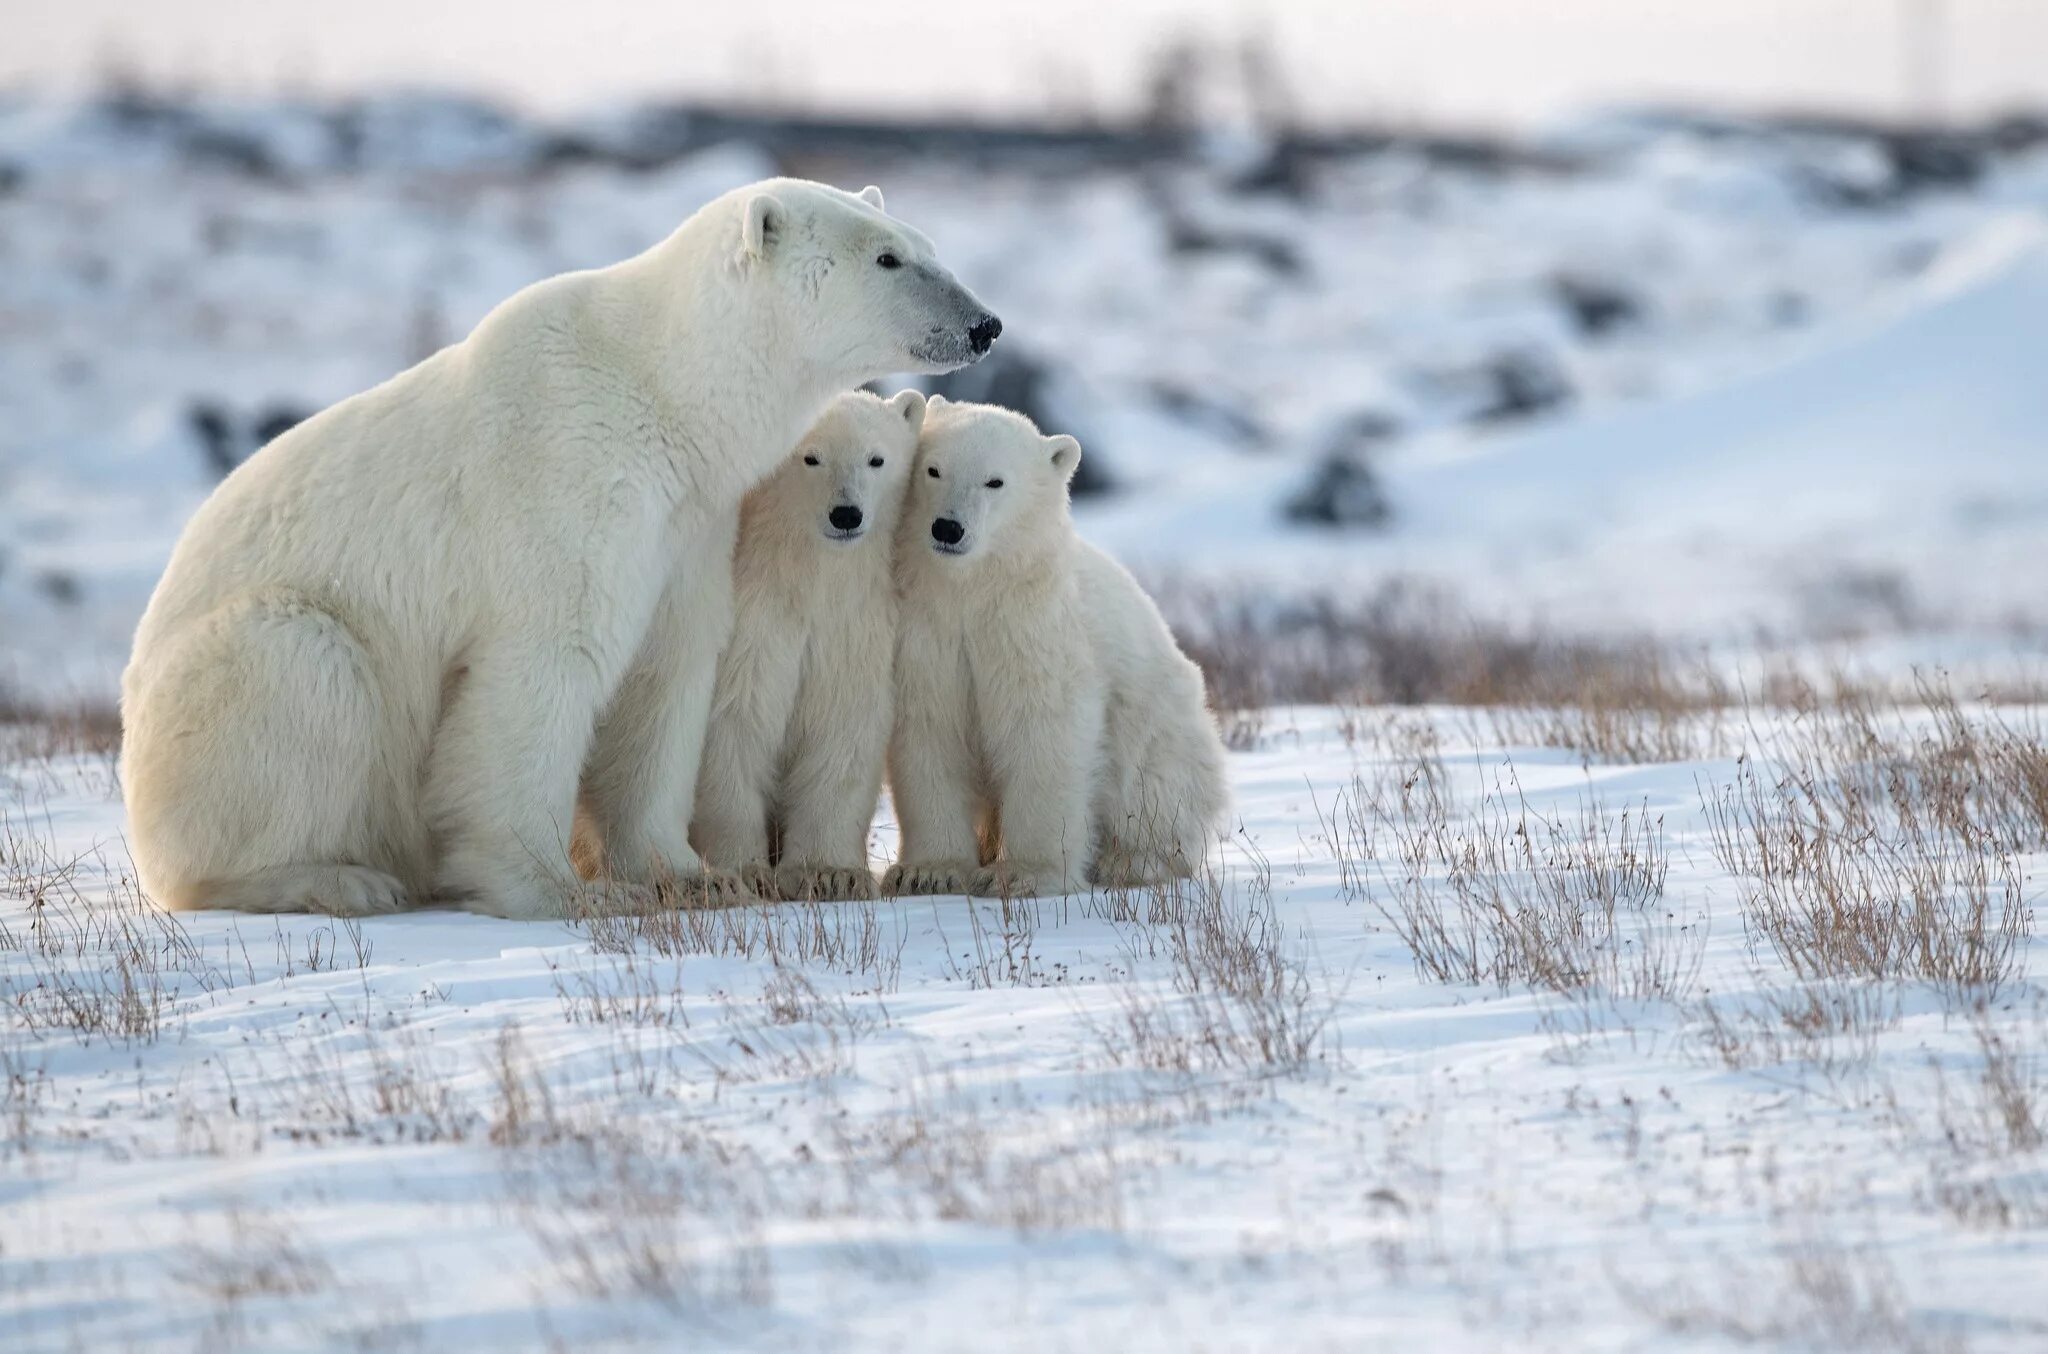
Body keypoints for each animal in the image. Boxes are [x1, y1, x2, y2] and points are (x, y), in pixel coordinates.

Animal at [692, 387, 925, 897]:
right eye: (811, 457)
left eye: (876, 458)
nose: (846, 514)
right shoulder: (752, 630)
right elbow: (734, 728)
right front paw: (746, 871)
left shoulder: (851, 632)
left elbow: (840, 733)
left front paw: (828, 873)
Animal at [884, 399, 1228, 897]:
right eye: (933, 469)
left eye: (995, 480)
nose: (947, 528)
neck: (972, 591)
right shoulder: (927, 634)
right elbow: (929, 730)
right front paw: (928, 872)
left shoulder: (1036, 631)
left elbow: (1043, 730)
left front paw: (1023, 874)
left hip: (1159, 722)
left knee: (1151, 787)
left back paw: (1130, 861)